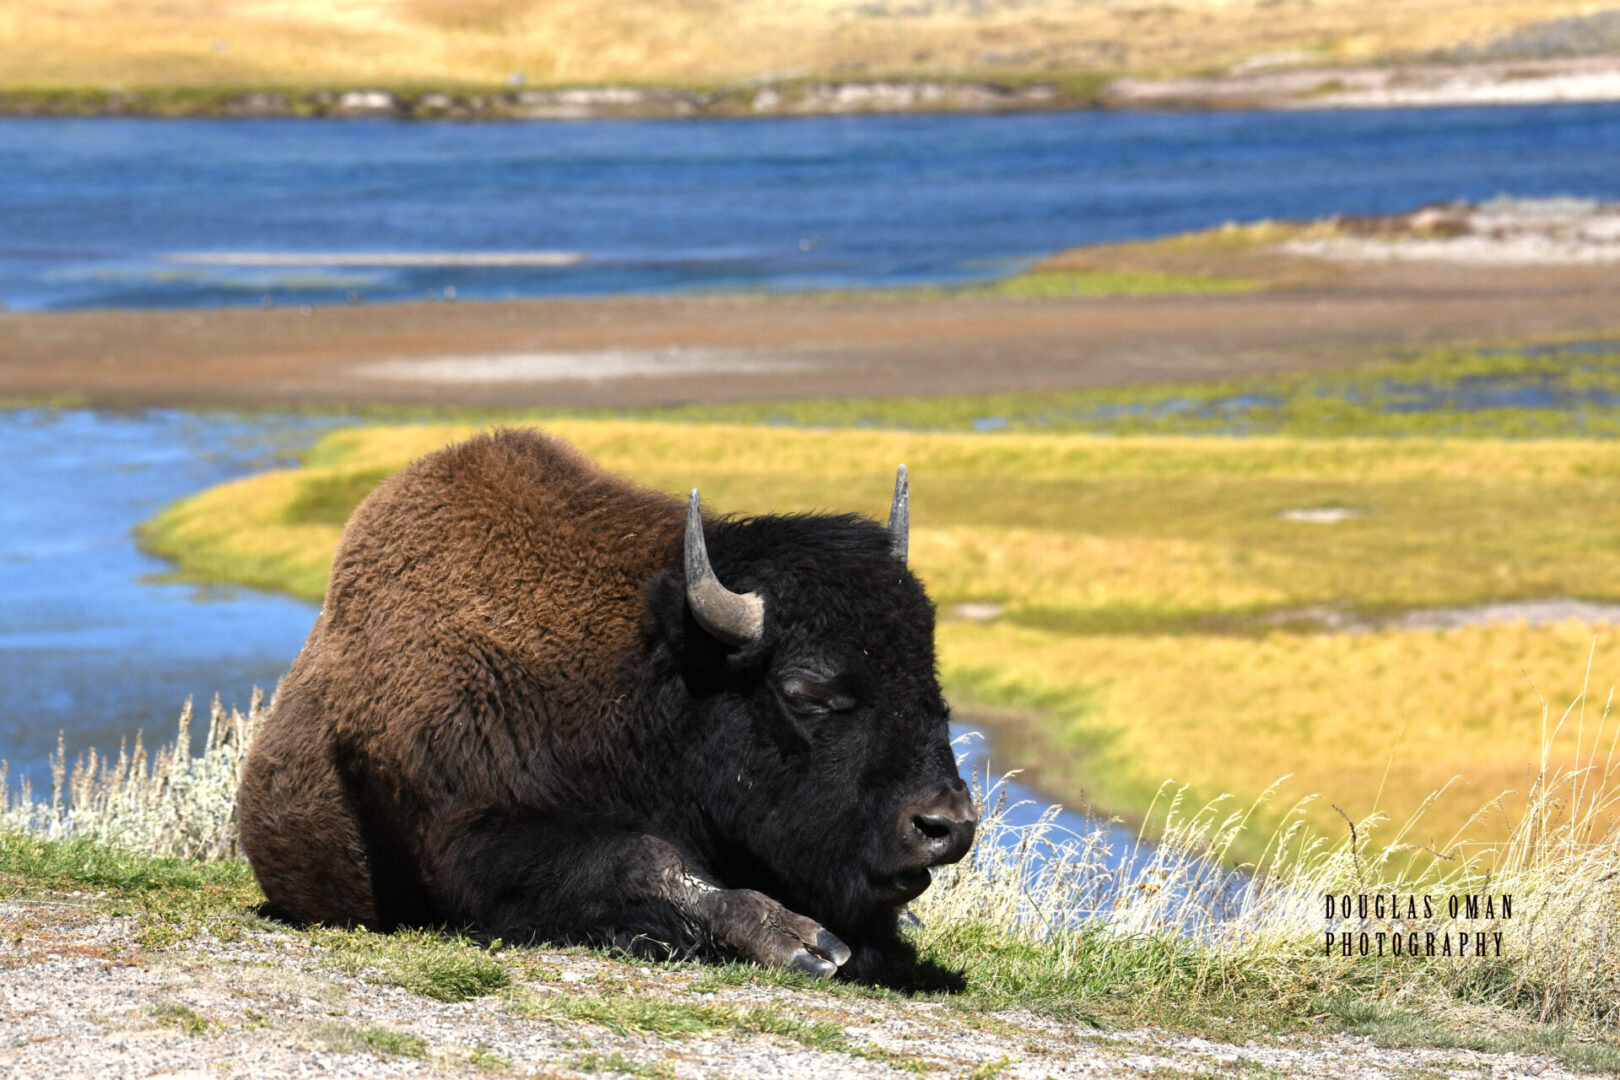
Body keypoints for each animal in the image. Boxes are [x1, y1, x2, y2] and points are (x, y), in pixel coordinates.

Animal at [239, 427, 972, 977]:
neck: (649, 670)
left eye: (929, 671)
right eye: (806, 692)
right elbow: (645, 860)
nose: (947, 825)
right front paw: (803, 943)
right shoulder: (477, 832)